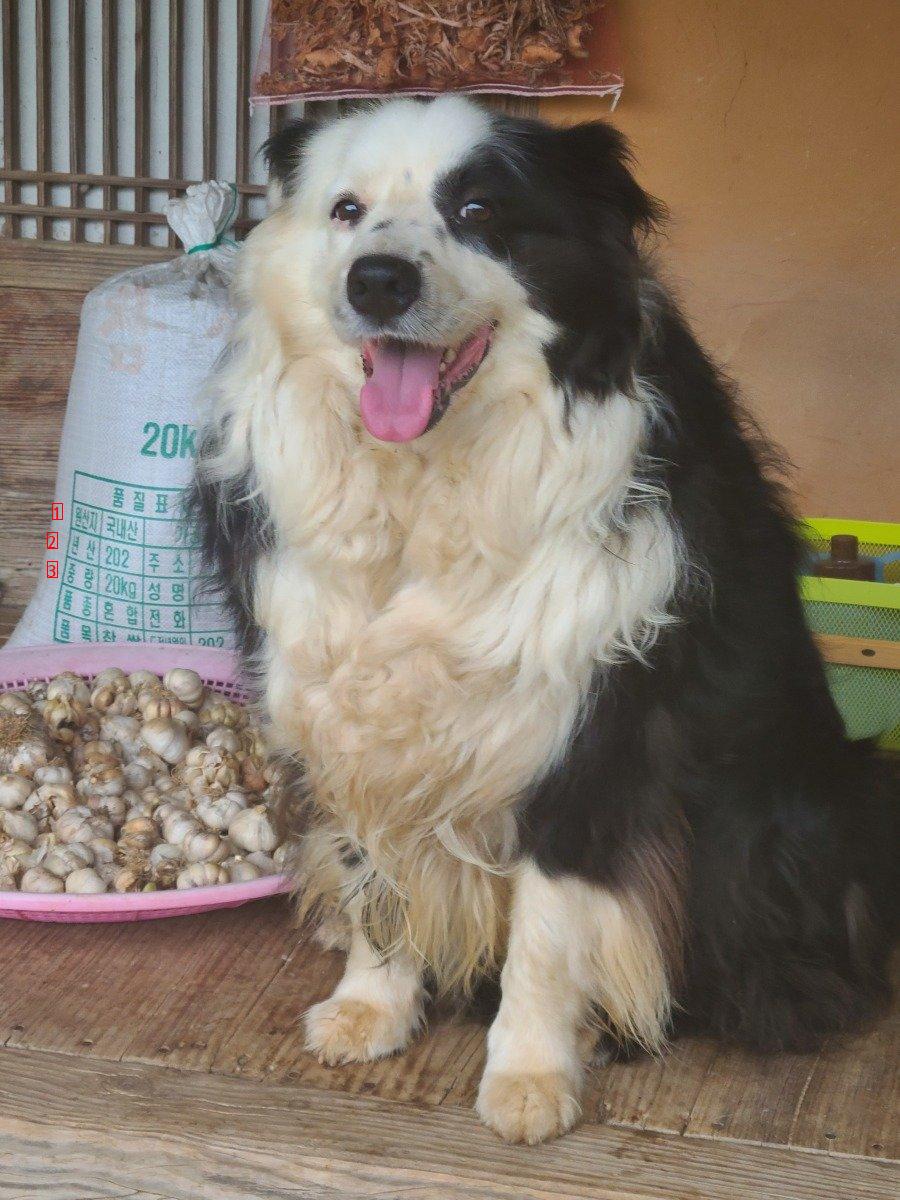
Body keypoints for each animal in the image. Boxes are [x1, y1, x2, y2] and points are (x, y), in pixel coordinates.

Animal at [190, 96, 897, 1142]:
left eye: (480, 209)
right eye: (347, 210)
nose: (378, 281)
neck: (428, 482)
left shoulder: (592, 734)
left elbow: (549, 926)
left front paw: (529, 1076)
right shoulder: (342, 695)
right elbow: (376, 871)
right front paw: (369, 1008)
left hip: (781, 822)